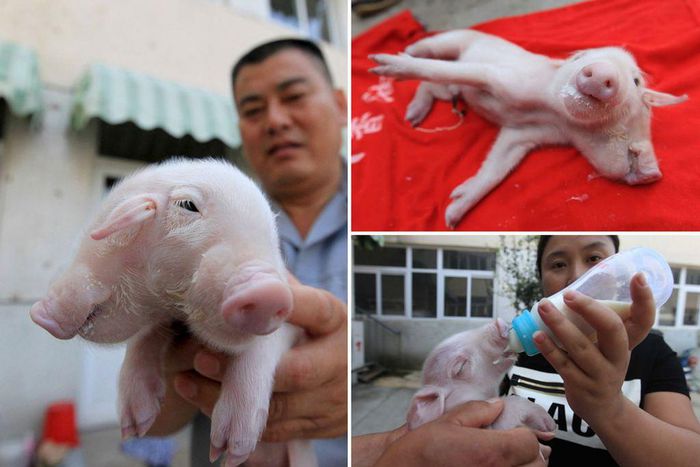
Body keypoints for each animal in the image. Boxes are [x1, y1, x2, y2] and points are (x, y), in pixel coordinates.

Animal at [29, 158, 316, 467]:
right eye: (188, 205)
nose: (269, 290)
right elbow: (145, 337)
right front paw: (134, 426)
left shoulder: (295, 319)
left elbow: (263, 344)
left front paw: (229, 450)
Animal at [369, 30, 688, 228]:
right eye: (581, 57)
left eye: (635, 80)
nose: (601, 73)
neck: (552, 109)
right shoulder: (501, 78)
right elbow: (466, 72)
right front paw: (385, 66)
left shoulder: (524, 135)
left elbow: (497, 168)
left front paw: (452, 213)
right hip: (457, 41)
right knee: (435, 55)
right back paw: (404, 59)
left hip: (449, 92)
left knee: (433, 87)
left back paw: (414, 117)